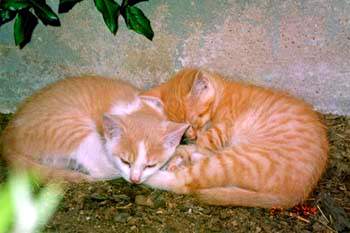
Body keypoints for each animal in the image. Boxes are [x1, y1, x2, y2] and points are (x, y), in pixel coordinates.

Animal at [0, 76, 189, 184]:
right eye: (125, 161)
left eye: (150, 164)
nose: (135, 180)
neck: (139, 108)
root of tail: (7, 136)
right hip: (74, 129)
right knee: (98, 170)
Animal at [140, 68, 328, 208]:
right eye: (184, 129)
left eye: (194, 121)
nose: (191, 135)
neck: (222, 94)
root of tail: (298, 193)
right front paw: (182, 150)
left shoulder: (222, 128)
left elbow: (205, 143)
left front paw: (190, 149)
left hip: (238, 158)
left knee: (187, 181)